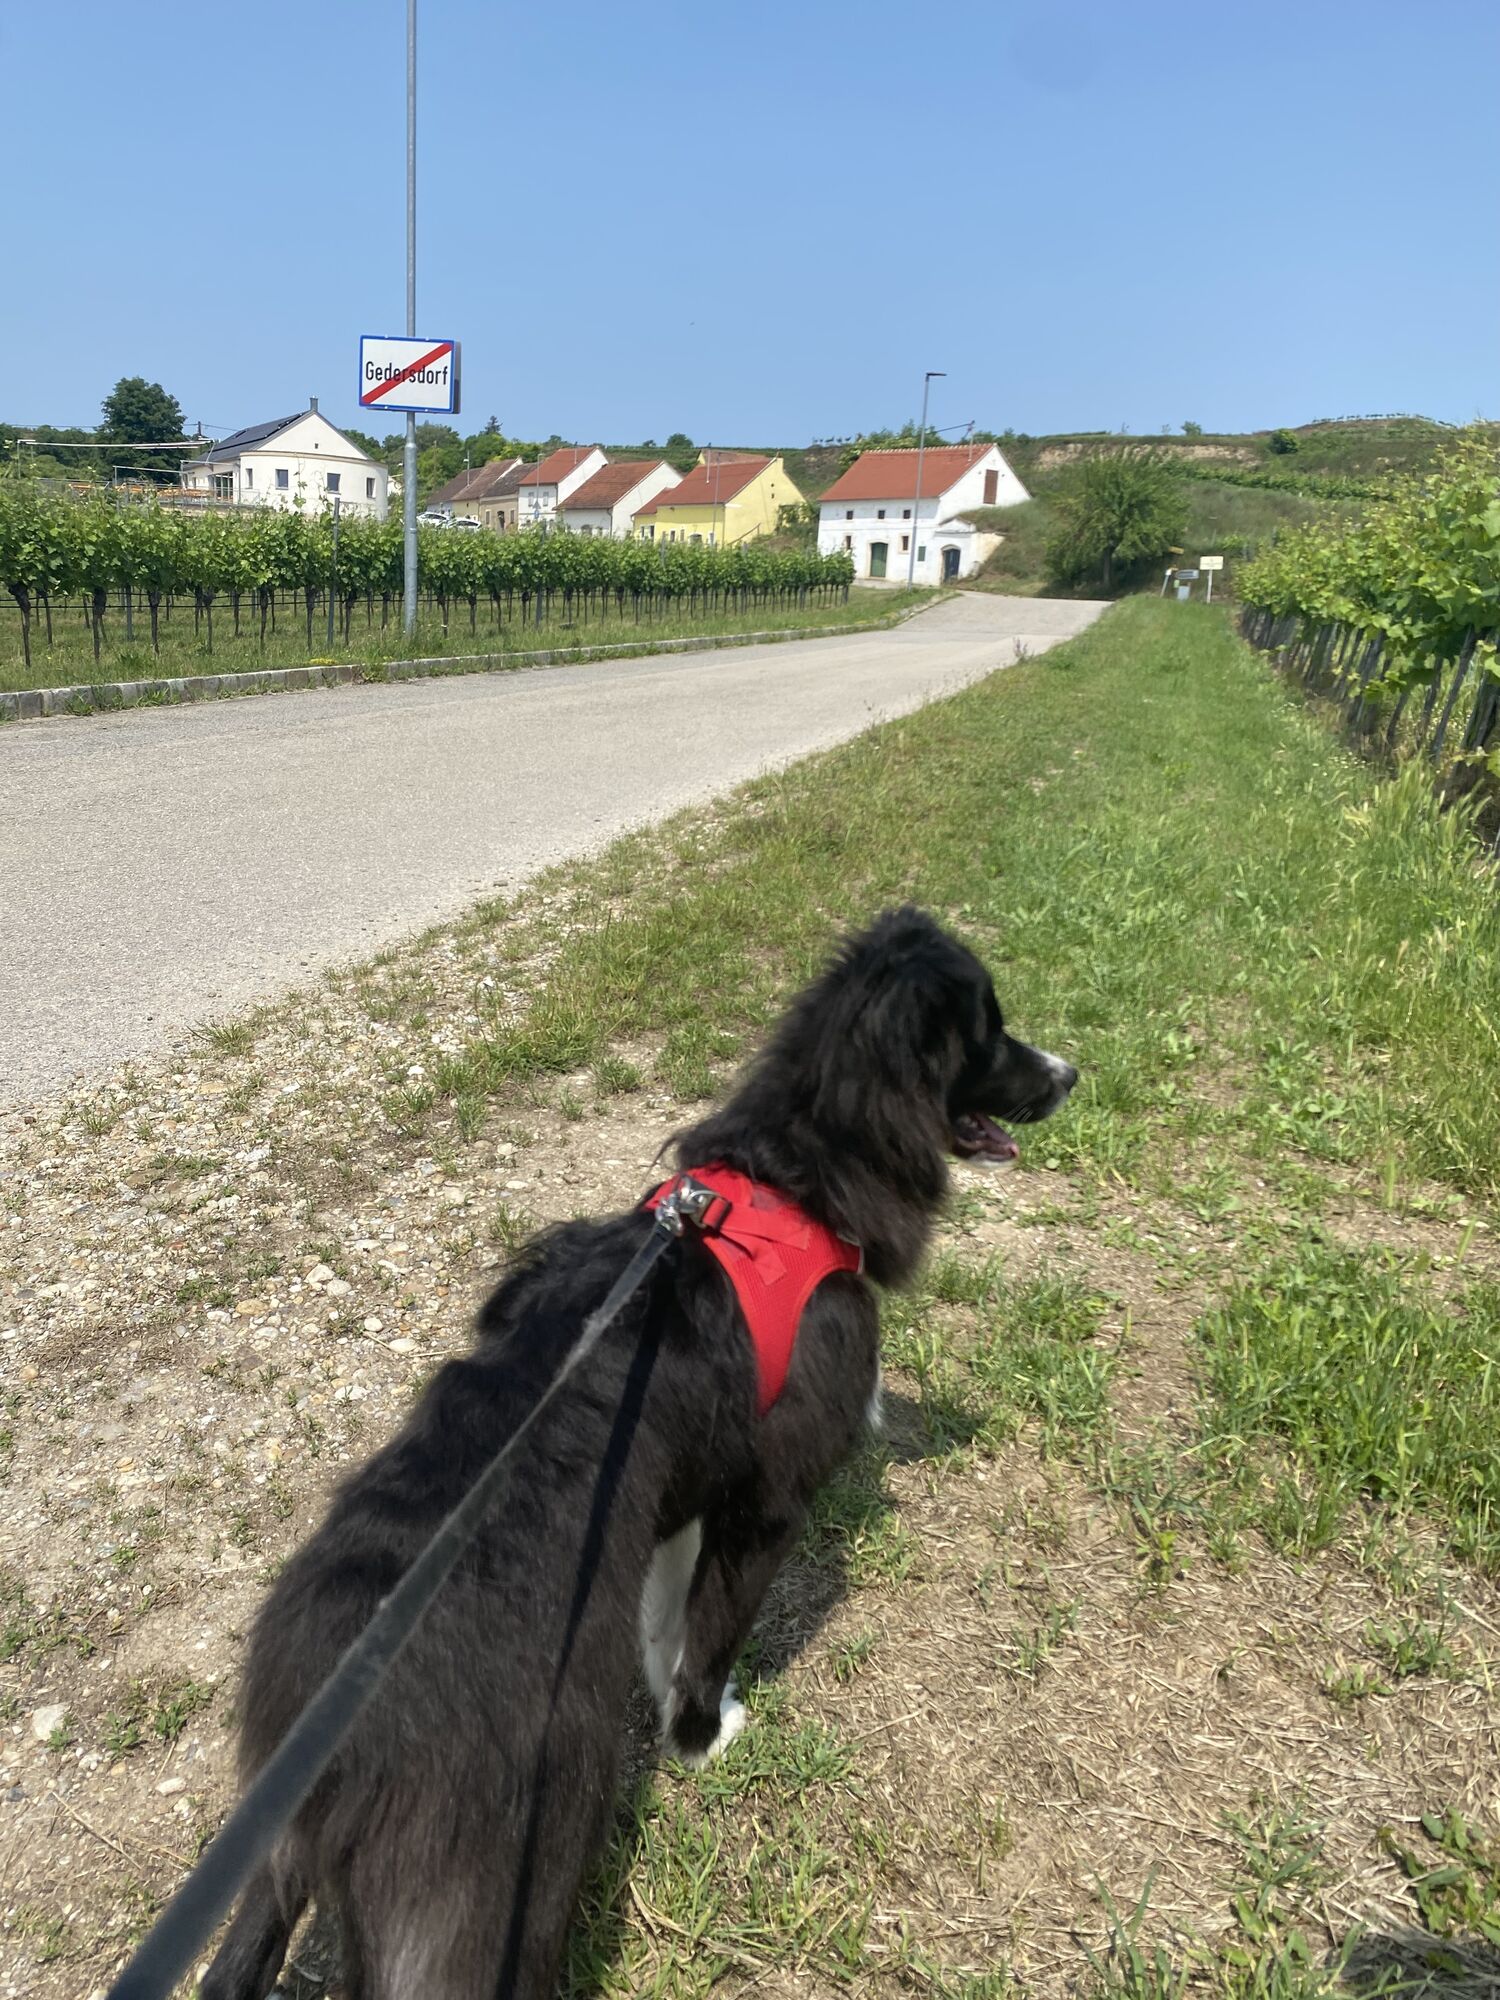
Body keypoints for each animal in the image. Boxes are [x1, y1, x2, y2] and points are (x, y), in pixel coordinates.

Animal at [202, 906, 1076, 2000]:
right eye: (989, 1035)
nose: (1070, 1072)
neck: (799, 1175)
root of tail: (328, 1753)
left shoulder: (680, 1497)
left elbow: (669, 1620)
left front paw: (670, 1709)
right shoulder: (768, 1503)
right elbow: (715, 1632)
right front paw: (703, 1737)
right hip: (500, 1887)